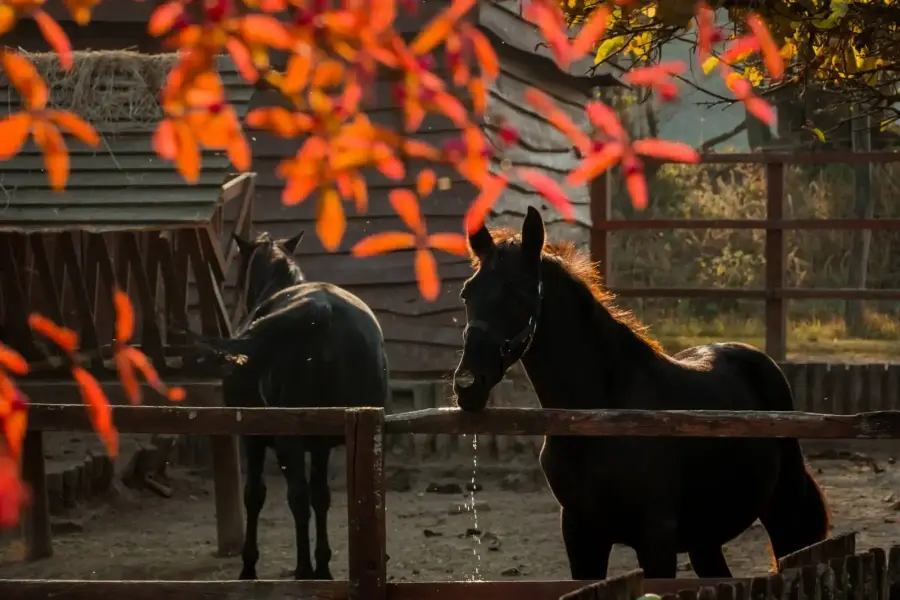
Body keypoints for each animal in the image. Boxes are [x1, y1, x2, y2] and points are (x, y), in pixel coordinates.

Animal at [188, 231, 388, 580]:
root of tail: (321, 309)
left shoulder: (253, 439)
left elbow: (254, 496)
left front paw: (249, 566)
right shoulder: (321, 445)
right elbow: (321, 498)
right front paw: (323, 564)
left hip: (286, 442)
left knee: (297, 498)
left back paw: (303, 569)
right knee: (316, 497)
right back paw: (317, 570)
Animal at [454, 207, 828, 580]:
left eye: (518, 294)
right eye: (467, 293)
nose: (467, 384)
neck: (600, 416)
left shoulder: (656, 538)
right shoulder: (580, 534)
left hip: (783, 514)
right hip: (704, 538)